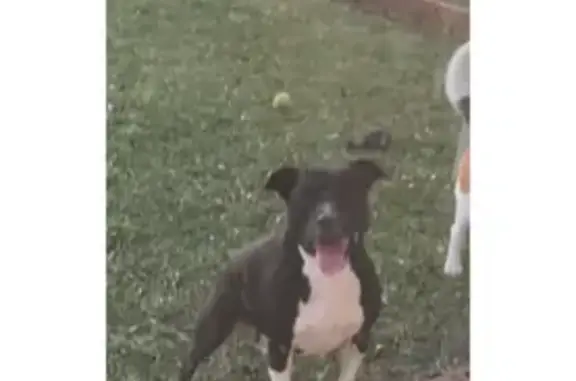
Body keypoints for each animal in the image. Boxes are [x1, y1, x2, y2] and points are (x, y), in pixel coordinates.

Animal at [180, 159, 388, 380]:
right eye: (304, 197)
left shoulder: (359, 340)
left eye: (347, 192)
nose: (326, 219)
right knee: (190, 362)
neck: (326, 277)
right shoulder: (279, 350)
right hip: (212, 328)